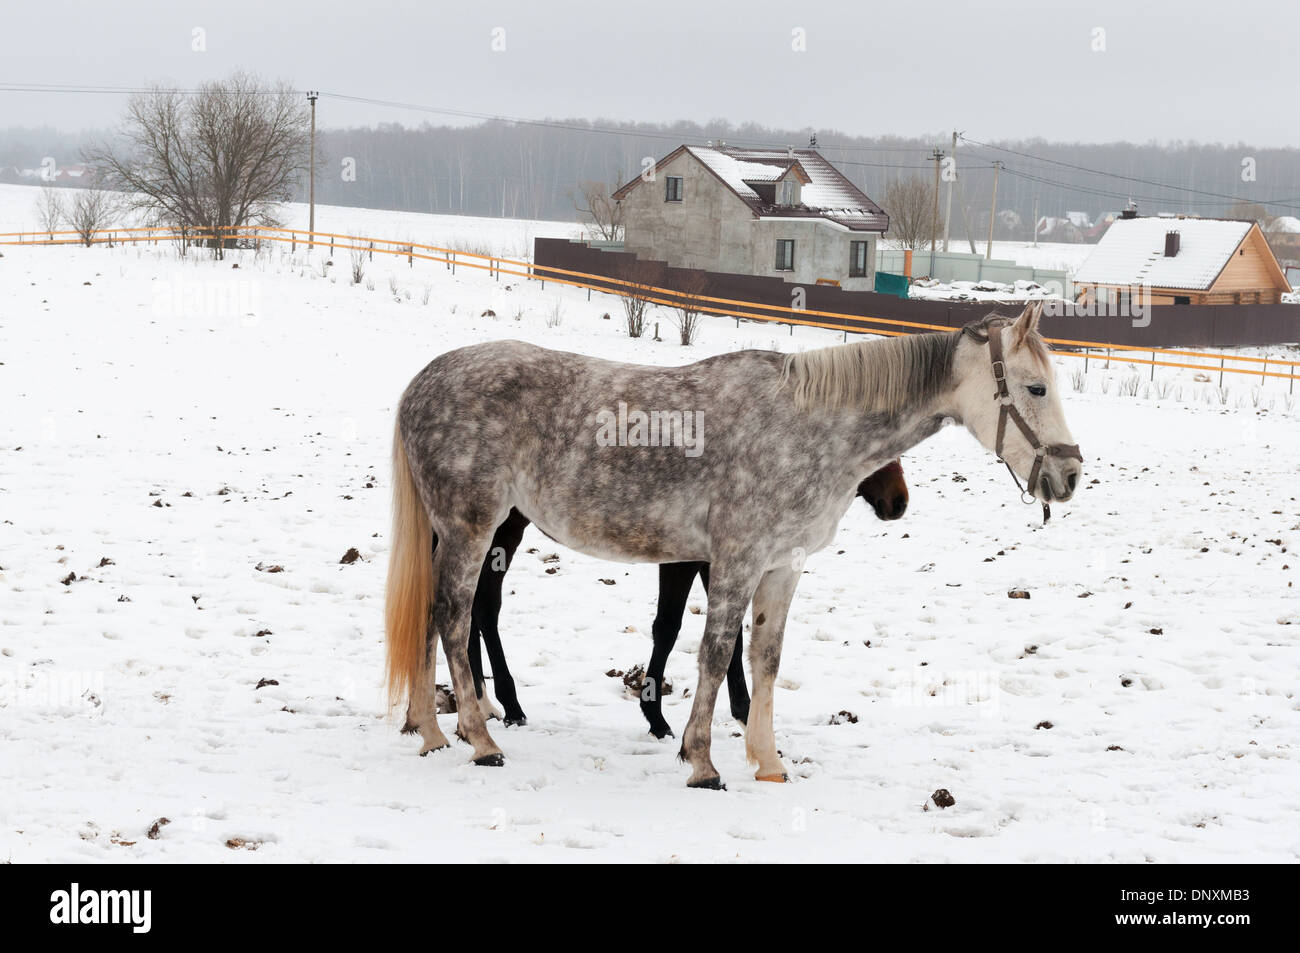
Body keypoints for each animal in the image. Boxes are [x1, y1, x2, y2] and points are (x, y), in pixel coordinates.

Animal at [462, 459, 909, 736]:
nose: (898, 501)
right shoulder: (683, 560)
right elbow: (669, 628)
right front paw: (656, 716)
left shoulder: (718, 562)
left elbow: (733, 636)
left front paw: (742, 710)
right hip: (499, 528)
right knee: (481, 605)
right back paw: (507, 704)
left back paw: (483, 702)